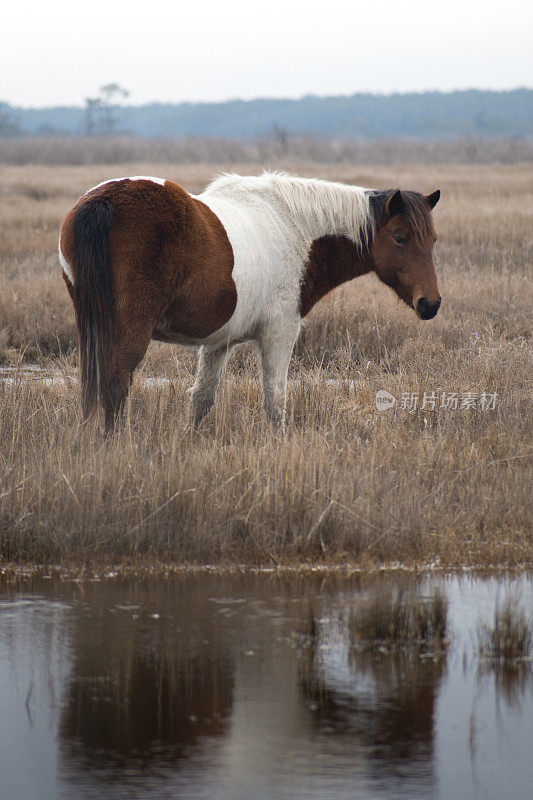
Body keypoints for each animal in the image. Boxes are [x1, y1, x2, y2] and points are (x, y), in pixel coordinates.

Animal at [59, 170, 440, 432]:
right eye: (400, 237)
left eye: (433, 239)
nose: (431, 303)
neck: (295, 228)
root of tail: (106, 200)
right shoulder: (280, 332)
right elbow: (275, 400)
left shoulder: (218, 341)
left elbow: (201, 399)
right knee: (116, 383)